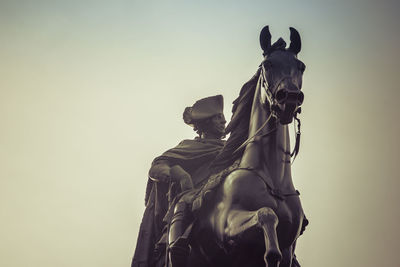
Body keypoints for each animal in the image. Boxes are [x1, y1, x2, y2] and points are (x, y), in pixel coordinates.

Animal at [186, 25, 308, 267]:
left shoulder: (289, 247)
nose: (289, 98)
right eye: (267, 64)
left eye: (301, 66)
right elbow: (266, 215)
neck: (274, 183)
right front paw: (270, 253)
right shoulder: (228, 227)